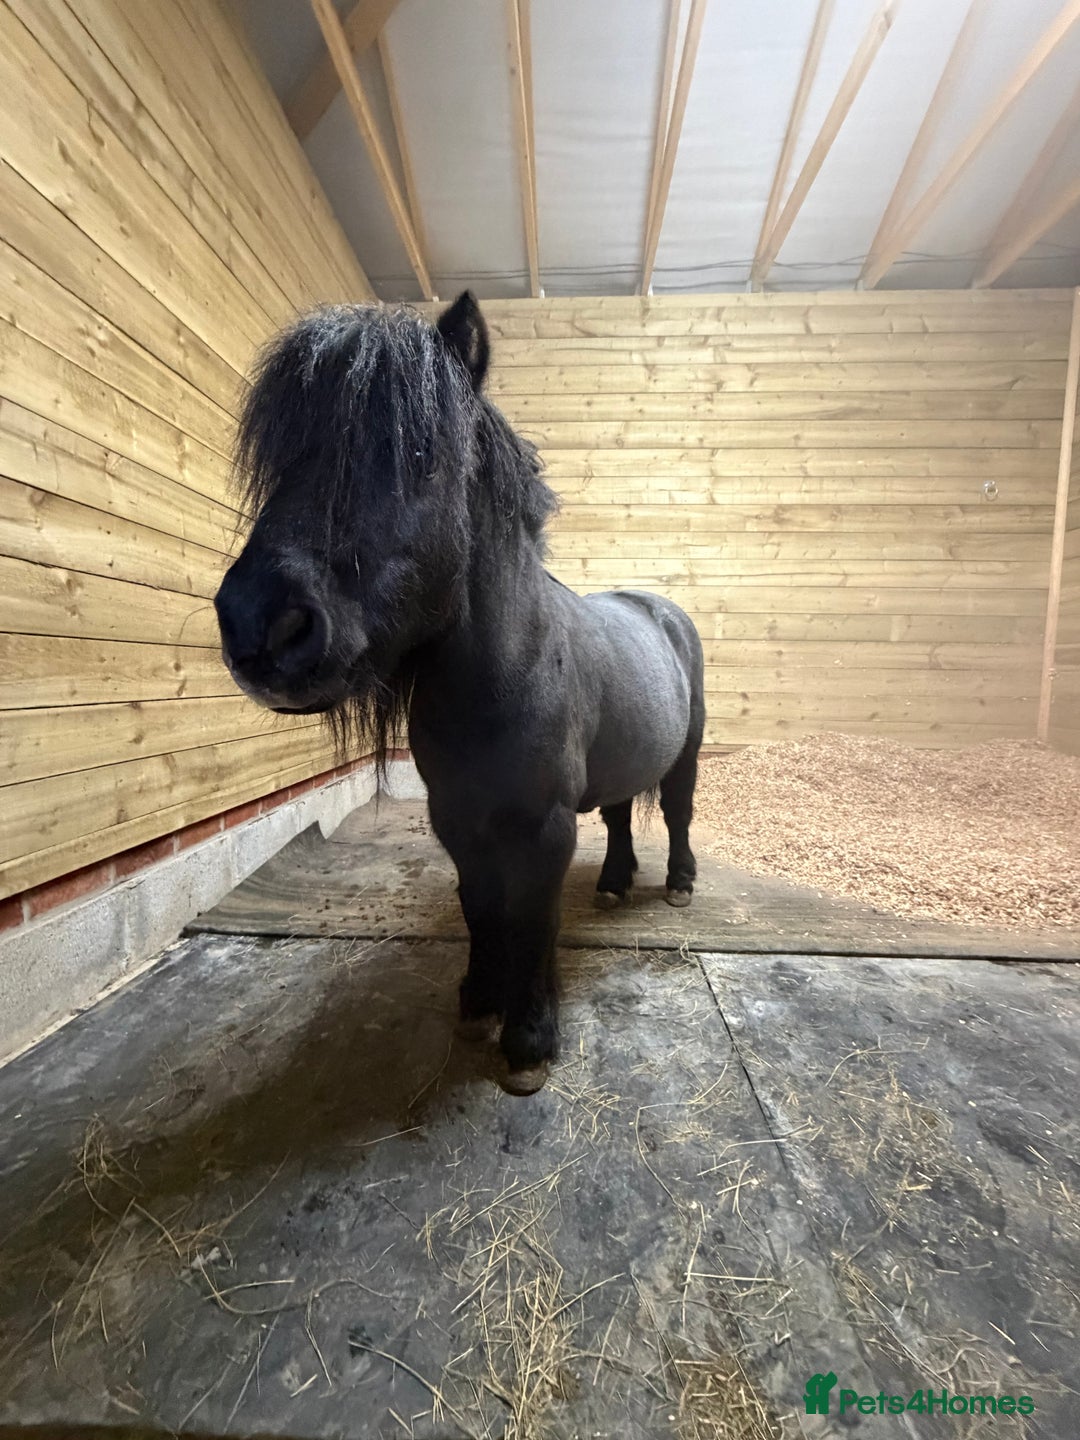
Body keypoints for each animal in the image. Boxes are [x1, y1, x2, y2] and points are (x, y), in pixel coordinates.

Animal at [214, 292, 705, 1094]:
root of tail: (658, 609)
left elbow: (533, 918)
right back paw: (613, 882)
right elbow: (481, 907)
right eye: (284, 459)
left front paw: (530, 1039)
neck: (503, 682)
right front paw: (479, 1001)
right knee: (622, 814)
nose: (259, 625)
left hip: (688, 754)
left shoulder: (544, 826)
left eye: (419, 455)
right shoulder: (456, 820)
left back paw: (679, 883)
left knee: (679, 813)